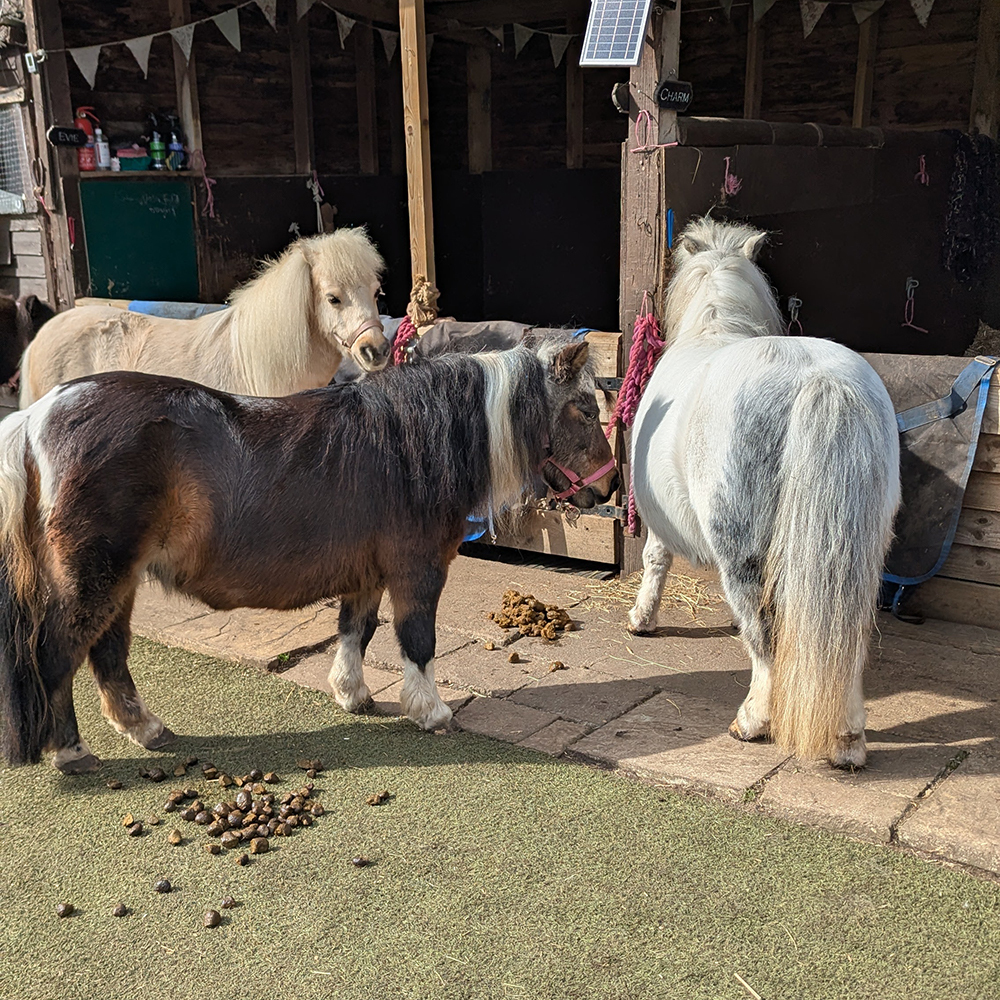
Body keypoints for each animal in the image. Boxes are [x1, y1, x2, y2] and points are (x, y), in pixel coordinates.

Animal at [0, 336, 618, 773]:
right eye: (586, 412)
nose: (611, 487)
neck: (411, 445)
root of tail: (35, 417)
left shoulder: (368, 573)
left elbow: (356, 630)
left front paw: (353, 694)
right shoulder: (416, 568)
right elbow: (417, 640)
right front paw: (431, 711)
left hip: (118, 580)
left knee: (108, 656)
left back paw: (147, 729)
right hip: (94, 577)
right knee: (56, 654)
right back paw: (71, 752)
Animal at [627, 217, 900, 768]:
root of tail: (821, 378)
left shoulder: (658, 519)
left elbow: (654, 560)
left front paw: (643, 618)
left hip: (743, 556)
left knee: (764, 637)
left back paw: (753, 722)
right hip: (858, 555)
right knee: (846, 641)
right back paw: (848, 742)